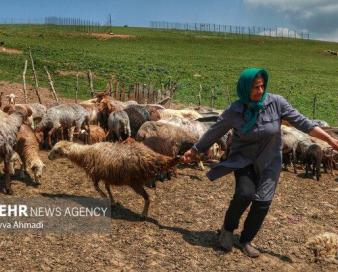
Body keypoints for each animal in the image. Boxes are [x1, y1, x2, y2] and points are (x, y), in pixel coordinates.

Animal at [48, 140, 182, 217]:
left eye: (56, 151)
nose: (48, 157)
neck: (84, 153)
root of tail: (151, 157)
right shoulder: (106, 176)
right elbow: (107, 188)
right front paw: (112, 201)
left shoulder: (96, 174)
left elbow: (96, 187)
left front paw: (105, 198)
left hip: (135, 182)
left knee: (147, 198)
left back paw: (143, 214)